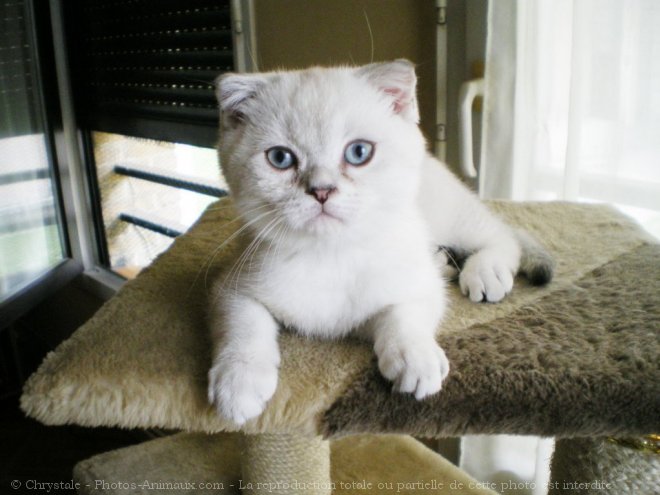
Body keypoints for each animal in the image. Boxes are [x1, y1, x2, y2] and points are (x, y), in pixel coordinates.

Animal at [206, 60, 552, 424]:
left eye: (359, 152)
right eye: (280, 159)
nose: (322, 190)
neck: (331, 256)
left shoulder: (416, 284)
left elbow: (404, 315)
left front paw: (415, 358)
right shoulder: (232, 284)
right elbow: (243, 323)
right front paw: (239, 380)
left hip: (451, 216)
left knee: (502, 236)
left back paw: (485, 272)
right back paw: (444, 263)